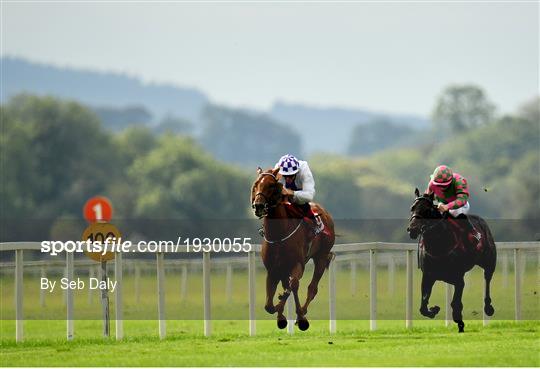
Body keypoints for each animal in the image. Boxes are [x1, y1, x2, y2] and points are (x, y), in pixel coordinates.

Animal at [251, 165, 336, 330]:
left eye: (271, 185)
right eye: (256, 184)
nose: (258, 206)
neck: (278, 234)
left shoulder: (297, 264)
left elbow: (293, 286)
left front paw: (297, 315)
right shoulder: (273, 269)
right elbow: (268, 305)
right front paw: (280, 314)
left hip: (321, 257)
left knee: (311, 288)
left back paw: (301, 314)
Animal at [408, 188, 496, 332]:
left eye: (427, 210)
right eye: (412, 208)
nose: (412, 229)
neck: (439, 245)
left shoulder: (459, 279)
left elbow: (456, 303)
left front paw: (459, 322)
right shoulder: (428, 276)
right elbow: (423, 306)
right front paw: (434, 309)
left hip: (489, 262)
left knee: (487, 279)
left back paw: (488, 307)